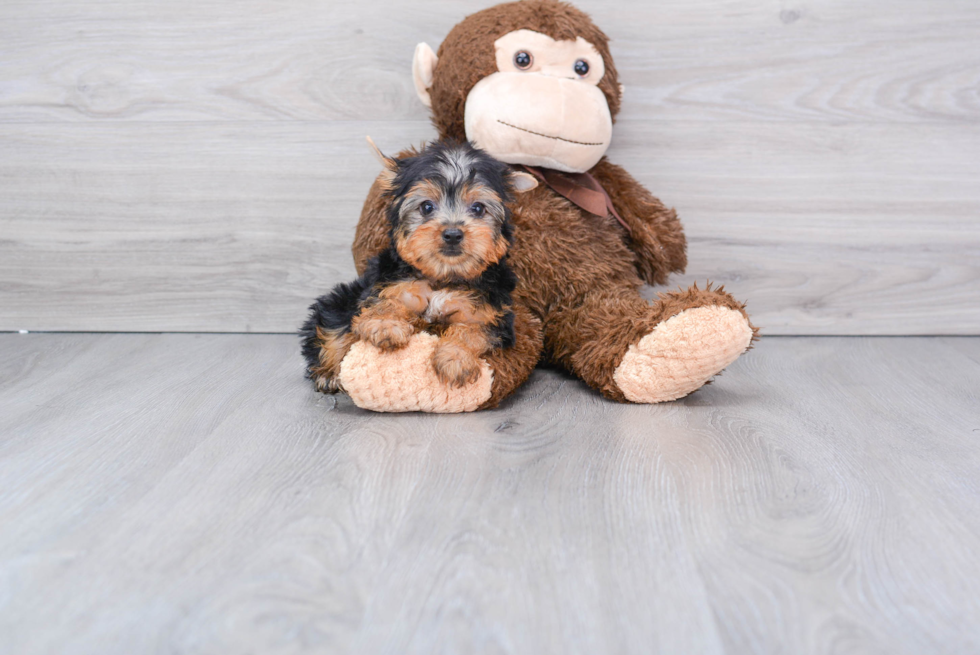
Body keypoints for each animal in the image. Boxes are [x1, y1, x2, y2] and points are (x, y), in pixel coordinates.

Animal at [302, 138, 540, 394]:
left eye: (478, 208)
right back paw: (328, 373)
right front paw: (385, 325)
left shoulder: (491, 312)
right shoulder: (389, 283)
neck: (442, 277)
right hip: (344, 298)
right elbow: (384, 301)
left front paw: (455, 358)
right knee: (334, 324)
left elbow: (473, 330)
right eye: (426, 207)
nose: (453, 234)